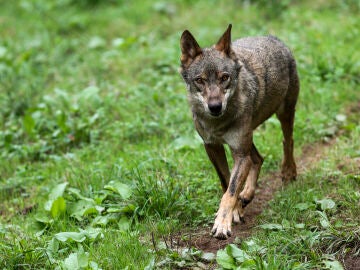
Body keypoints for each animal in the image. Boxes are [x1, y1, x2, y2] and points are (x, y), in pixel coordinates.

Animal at [179, 24, 300, 238]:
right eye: (199, 80)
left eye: (224, 77)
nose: (215, 107)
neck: (218, 123)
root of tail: (272, 38)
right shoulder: (212, 147)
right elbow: (227, 183)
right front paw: (235, 211)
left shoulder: (239, 154)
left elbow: (231, 191)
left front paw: (222, 223)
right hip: (248, 138)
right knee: (258, 158)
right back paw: (247, 195)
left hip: (283, 114)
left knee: (288, 141)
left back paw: (288, 172)